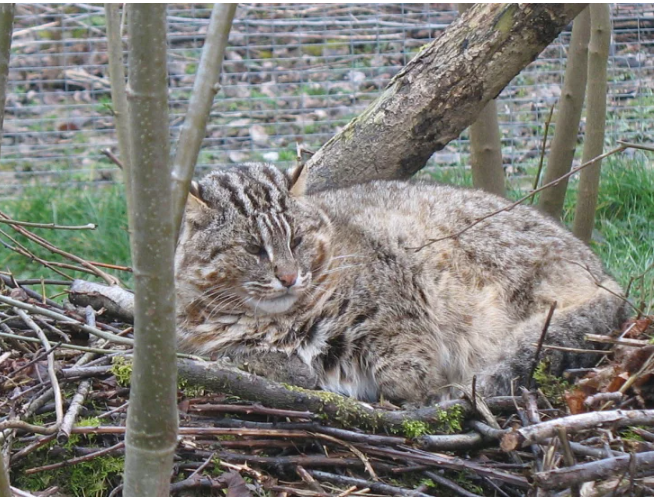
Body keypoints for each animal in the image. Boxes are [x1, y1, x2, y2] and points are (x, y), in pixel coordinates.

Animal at [173, 163, 624, 404]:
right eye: (253, 248)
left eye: (296, 240)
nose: (288, 276)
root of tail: (603, 273)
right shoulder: (197, 342)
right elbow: (237, 354)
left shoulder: (398, 300)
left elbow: (405, 358)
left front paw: (413, 391)